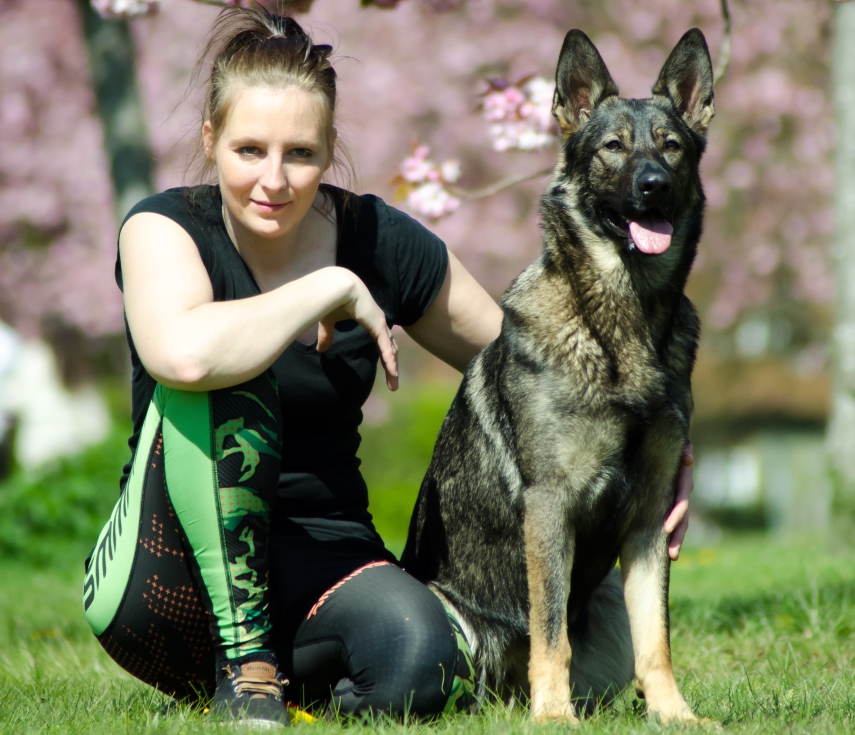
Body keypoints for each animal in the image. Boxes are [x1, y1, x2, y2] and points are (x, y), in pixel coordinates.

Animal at [402, 27, 716, 724]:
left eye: (672, 146)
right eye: (613, 147)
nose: (654, 186)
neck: (621, 323)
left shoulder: (651, 518)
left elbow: (657, 637)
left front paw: (674, 715)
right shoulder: (549, 505)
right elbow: (550, 630)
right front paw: (553, 715)